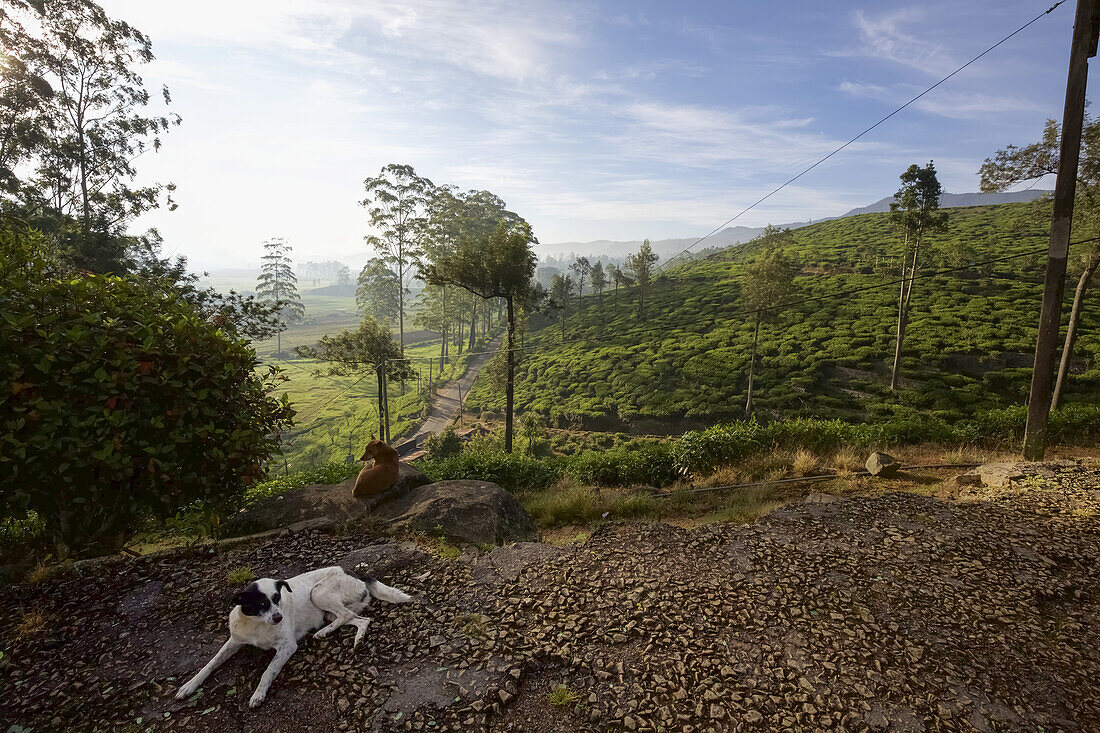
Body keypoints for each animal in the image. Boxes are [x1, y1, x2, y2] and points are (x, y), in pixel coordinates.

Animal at [176, 563, 413, 708]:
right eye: (261, 604)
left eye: (277, 598)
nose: (279, 617)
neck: (257, 625)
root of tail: (353, 572)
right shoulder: (234, 641)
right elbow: (210, 664)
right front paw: (189, 686)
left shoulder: (287, 647)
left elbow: (267, 671)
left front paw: (258, 695)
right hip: (328, 611)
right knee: (359, 619)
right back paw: (353, 638)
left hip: (317, 593)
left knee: (348, 615)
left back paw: (323, 633)